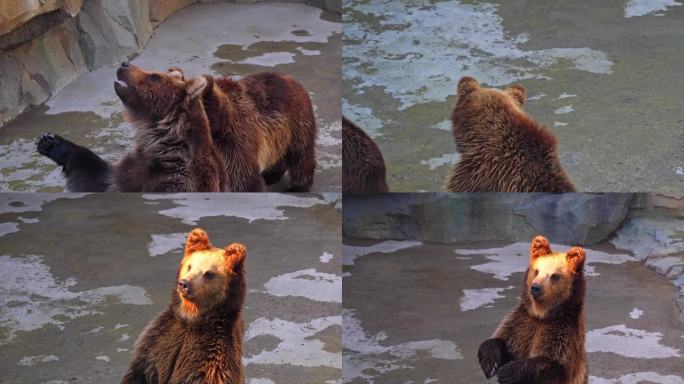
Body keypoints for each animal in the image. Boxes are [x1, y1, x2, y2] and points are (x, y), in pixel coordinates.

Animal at [36, 67, 227, 192]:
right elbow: (97, 178)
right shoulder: (132, 169)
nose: (124, 64)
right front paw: (50, 142)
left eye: (154, 76)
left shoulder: (179, 179)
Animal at [122, 230, 246, 382]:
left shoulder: (211, 358)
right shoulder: (158, 339)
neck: (191, 316)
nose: (184, 284)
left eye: (209, 273)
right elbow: (141, 370)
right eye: (190, 266)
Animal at [476, 236, 588, 382]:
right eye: (537, 271)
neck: (541, 314)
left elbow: (551, 363)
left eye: (555, 276)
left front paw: (506, 371)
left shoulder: (562, 333)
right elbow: (501, 338)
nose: (535, 288)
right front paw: (491, 364)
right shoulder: (521, 322)